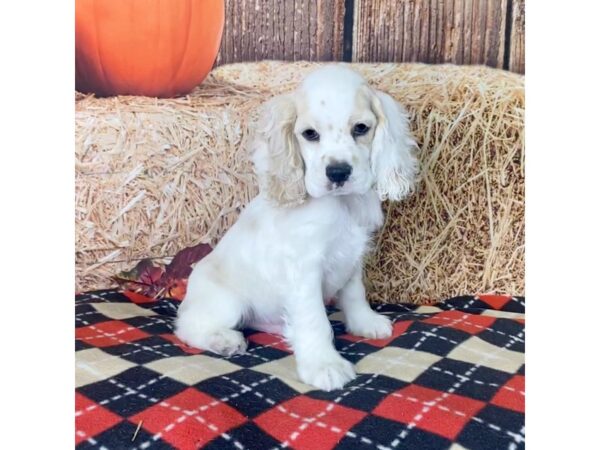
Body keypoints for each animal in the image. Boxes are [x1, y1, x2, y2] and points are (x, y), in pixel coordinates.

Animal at [173, 64, 418, 390]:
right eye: (309, 134)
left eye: (361, 128)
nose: (338, 172)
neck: (341, 205)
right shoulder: (304, 268)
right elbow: (315, 320)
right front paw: (324, 365)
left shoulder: (352, 257)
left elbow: (354, 293)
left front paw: (365, 323)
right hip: (225, 303)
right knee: (187, 325)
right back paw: (224, 340)